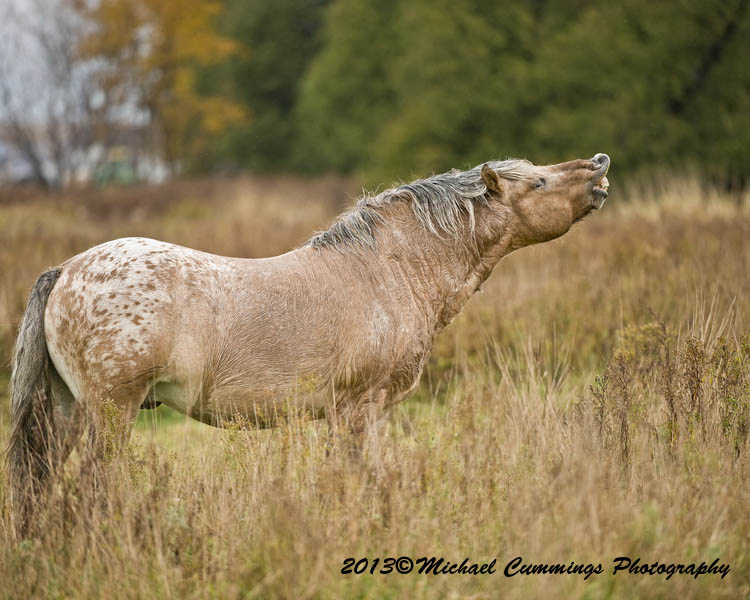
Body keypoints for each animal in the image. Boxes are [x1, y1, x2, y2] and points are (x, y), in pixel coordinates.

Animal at [7, 153, 610, 525]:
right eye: (538, 182)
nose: (600, 167)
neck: (389, 269)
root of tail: (65, 271)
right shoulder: (358, 410)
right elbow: (363, 481)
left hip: (65, 411)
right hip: (111, 413)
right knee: (91, 488)